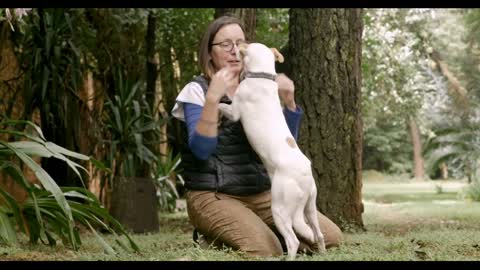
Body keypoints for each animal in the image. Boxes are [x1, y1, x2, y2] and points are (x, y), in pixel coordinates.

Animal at [219, 43, 328, 260]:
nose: (235, 49)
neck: (262, 76)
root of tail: (303, 176)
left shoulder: (235, 112)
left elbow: (221, 106)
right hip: (311, 207)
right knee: (318, 234)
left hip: (279, 209)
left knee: (293, 241)